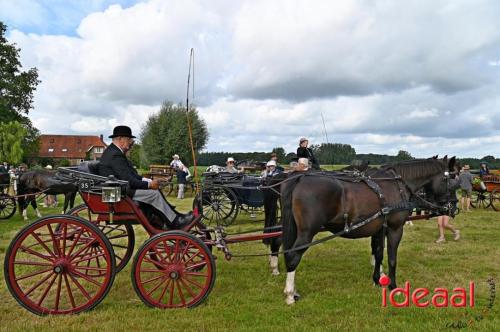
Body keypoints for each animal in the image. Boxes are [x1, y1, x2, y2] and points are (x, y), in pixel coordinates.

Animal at [282, 157, 458, 304]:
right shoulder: (395, 228)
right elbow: (392, 258)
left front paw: (377, 280)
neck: (398, 186)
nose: (454, 207)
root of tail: (300, 178)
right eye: (452, 179)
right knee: (292, 256)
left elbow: (378, 254)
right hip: (307, 232)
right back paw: (290, 294)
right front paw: (393, 286)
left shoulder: (379, 229)